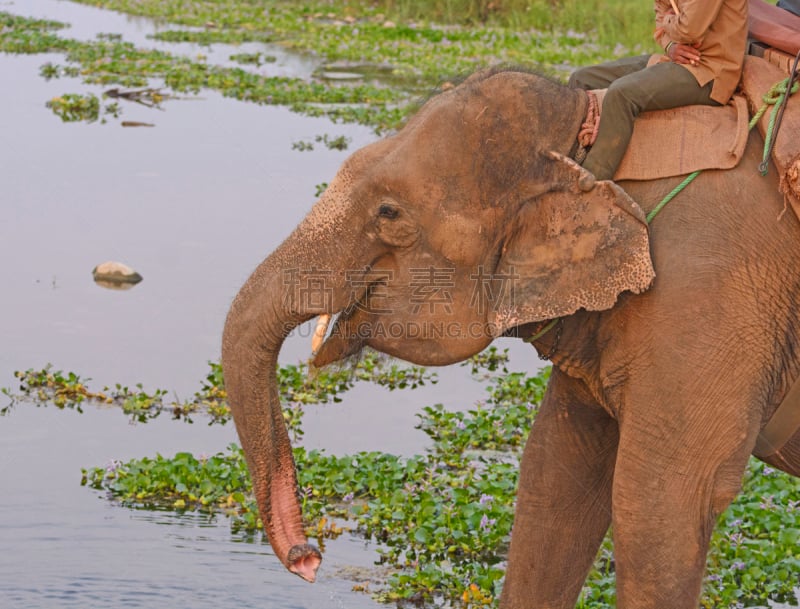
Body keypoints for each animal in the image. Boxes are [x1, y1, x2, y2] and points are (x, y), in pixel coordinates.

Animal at [222, 66, 800, 608]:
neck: (581, 140)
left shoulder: (709, 296)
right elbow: (555, 472)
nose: (308, 558)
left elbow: (662, 501)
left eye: (389, 212)